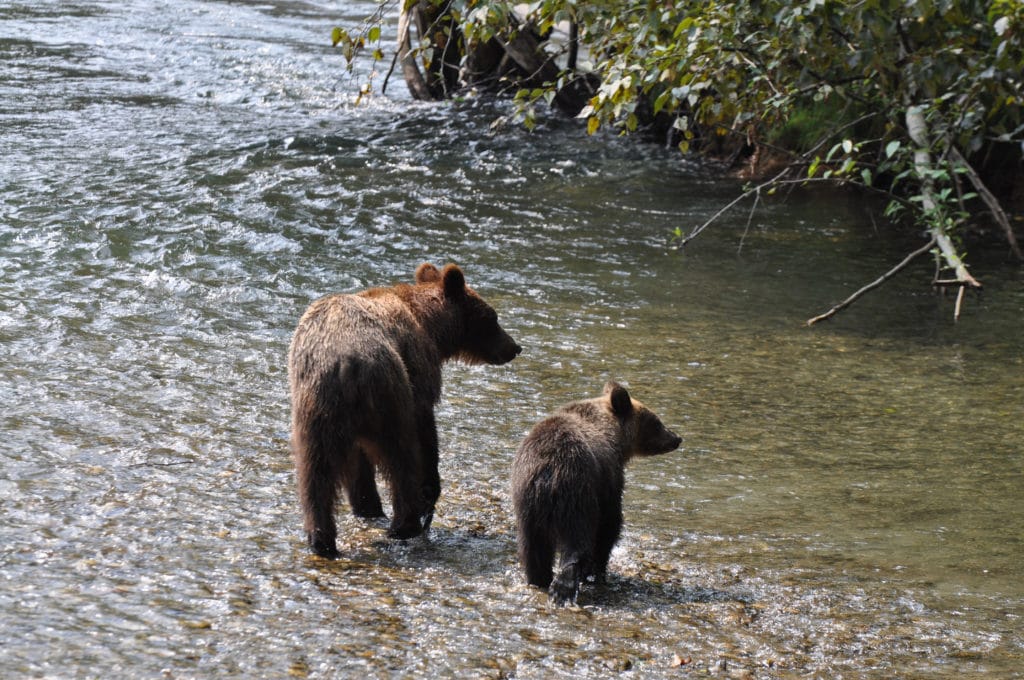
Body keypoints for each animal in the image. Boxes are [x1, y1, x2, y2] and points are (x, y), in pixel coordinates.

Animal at [288, 261, 520, 557]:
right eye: (493, 318)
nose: (515, 346)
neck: (430, 325)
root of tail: (345, 364)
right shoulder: (419, 370)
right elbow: (425, 426)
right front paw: (429, 491)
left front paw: (365, 504)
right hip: (390, 394)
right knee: (402, 456)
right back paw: (405, 524)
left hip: (314, 408)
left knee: (315, 472)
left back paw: (322, 538)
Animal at [509, 383, 679, 606]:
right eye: (657, 422)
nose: (676, 438)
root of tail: (546, 471)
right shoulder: (610, 478)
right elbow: (609, 524)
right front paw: (597, 571)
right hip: (576, 491)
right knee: (578, 538)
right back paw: (564, 588)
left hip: (526, 505)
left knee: (532, 549)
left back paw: (538, 580)